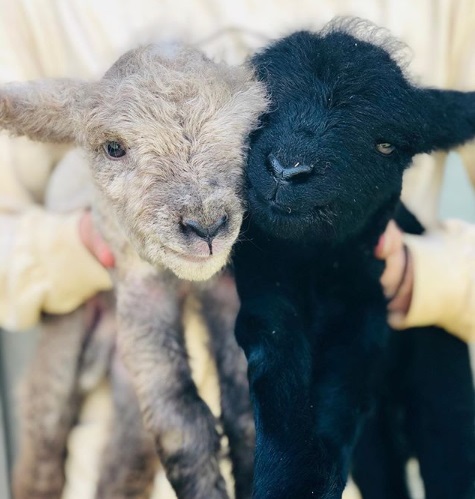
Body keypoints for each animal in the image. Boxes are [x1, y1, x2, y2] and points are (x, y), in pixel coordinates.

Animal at [232, 19, 475, 499]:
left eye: (385, 145)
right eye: (261, 110)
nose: (288, 169)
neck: (315, 266)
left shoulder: (366, 310)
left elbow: (342, 388)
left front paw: (308, 479)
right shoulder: (264, 288)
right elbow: (275, 357)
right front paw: (290, 477)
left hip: (445, 390)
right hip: (381, 443)